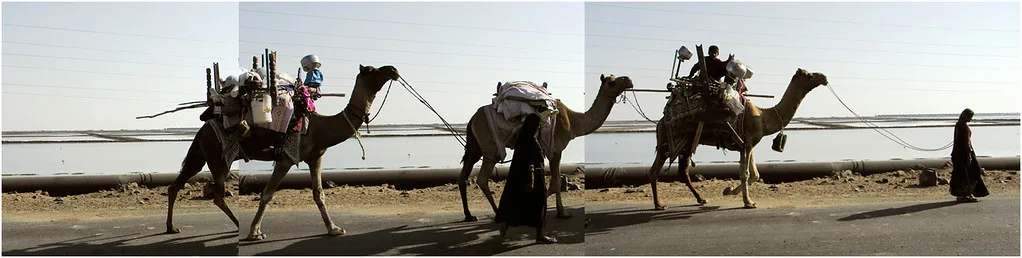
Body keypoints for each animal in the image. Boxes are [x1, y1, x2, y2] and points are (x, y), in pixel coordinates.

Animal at [163, 63, 398, 239]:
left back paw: (171, 227)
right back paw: (236, 226)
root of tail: (202, 129)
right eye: (371, 70)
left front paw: (334, 229)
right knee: (218, 196)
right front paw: (254, 232)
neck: (319, 128)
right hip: (215, 156)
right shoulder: (286, 157)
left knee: (176, 185)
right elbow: (267, 193)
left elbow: (319, 194)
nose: (393, 69)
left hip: (200, 154)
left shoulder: (316, 157)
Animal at [461, 73, 633, 221]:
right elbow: (555, 181)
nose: (628, 80)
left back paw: (469, 216)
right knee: (482, 179)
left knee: (464, 175)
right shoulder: (555, 149)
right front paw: (562, 213)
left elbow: (552, 182)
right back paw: (497, 214)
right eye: (611, 82)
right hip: (491, 148)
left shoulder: (551, 150)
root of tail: (472, 120)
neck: (572, 121)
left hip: (475, 147)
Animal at [649, 68, 825, 209]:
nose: (824, 77)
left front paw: (729, 191)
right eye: (809, 75)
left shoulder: (749, 144)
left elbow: (755, 174)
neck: (763, 116)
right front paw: (748, 202)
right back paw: (659, 204)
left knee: (683, 170)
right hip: (667, 141)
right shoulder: (747, 143)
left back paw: (701, 199)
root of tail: (661, 122)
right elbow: (745, 173)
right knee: (655, 170)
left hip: (687, 143)